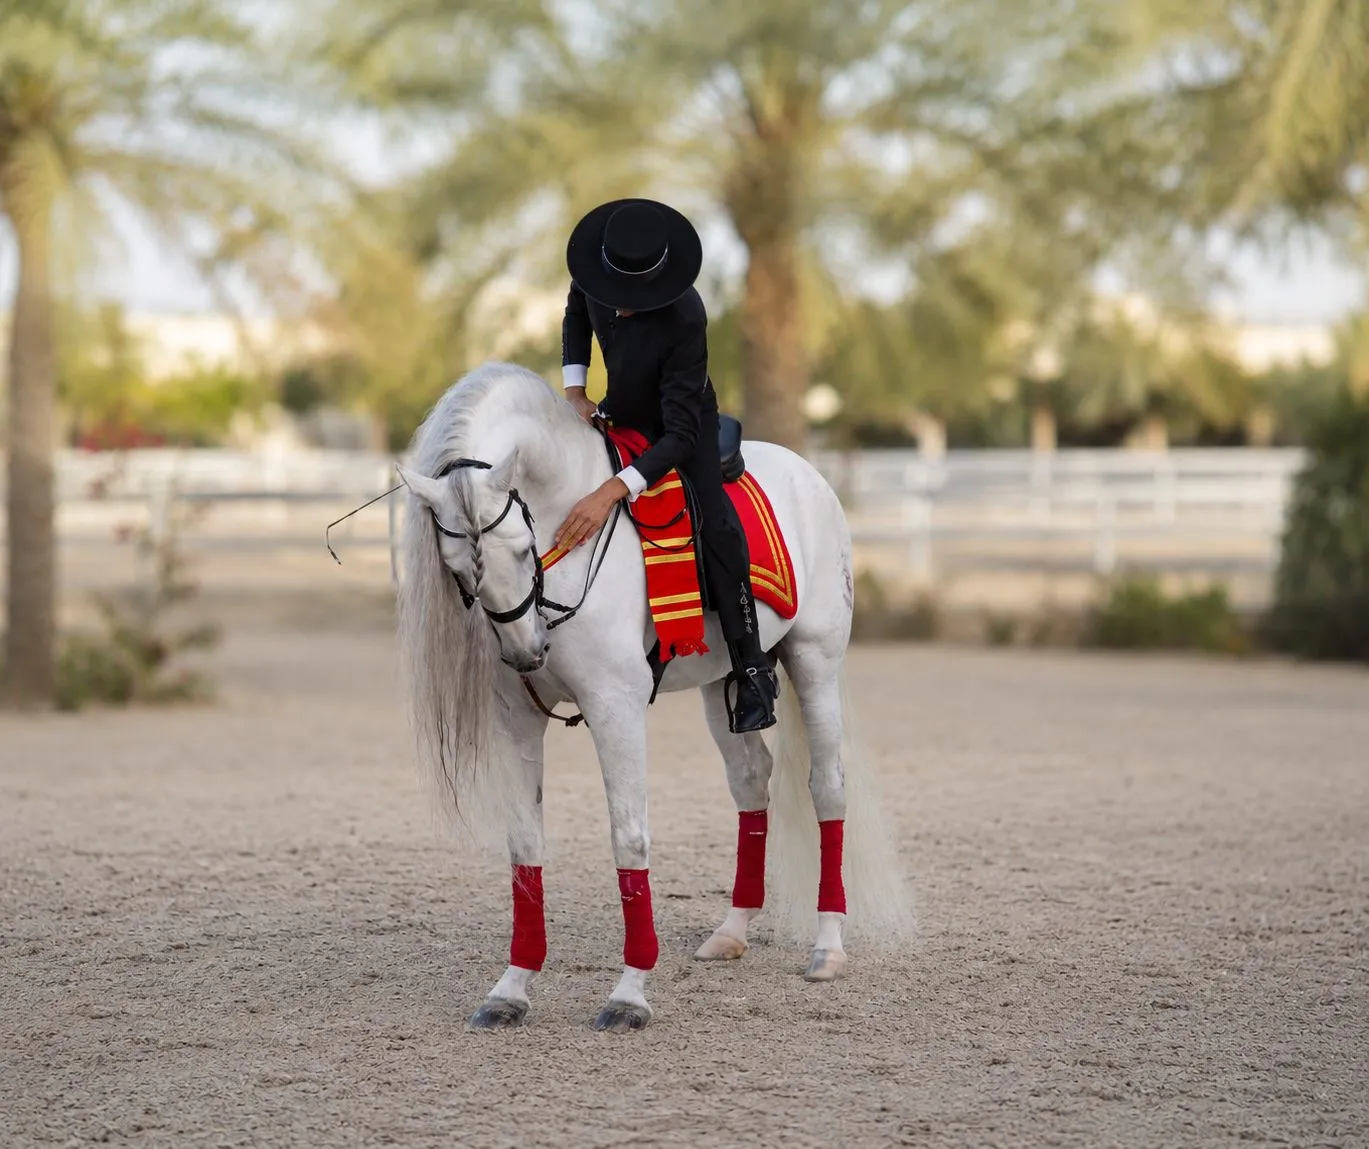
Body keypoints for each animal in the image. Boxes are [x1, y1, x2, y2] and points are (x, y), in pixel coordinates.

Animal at [392, 361, 912, 1031]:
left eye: (521, 549)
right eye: (457, 570)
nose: (528, 653)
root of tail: (808, 473)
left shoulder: (615, 707)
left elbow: (629, 835)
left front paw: (629, 993)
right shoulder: (518, 718)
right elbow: (525, 843)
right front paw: (511, 988)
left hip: (815, 662)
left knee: (827, 788)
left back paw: (827, 946)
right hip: (724, 685)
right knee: (752, 782)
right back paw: (732, 930)